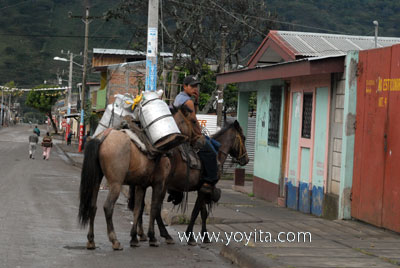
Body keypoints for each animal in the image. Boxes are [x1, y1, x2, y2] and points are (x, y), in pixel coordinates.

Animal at [77, 105, 198, 249]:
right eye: (194, 121)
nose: (201, 140)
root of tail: (103, 137)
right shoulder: (159, 184)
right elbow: (154, 208)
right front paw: (152, 237)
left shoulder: (141, 185)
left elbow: (137, 208)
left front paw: (135, 237)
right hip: (116, 184)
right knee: (108, 207)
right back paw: (114, 240)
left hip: (96, 180)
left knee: (92, 206)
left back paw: (91, 240)